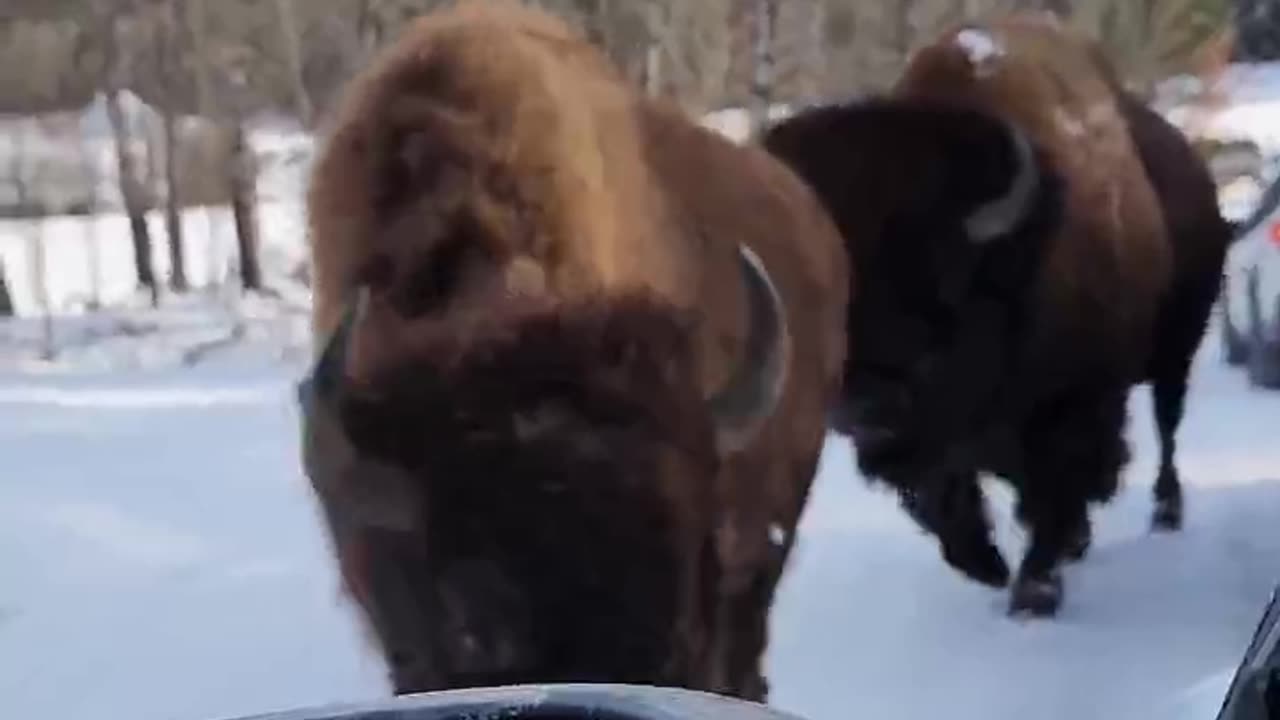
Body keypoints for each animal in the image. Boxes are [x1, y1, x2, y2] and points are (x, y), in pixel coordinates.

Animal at [757, 12, 1228, 617]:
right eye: (824, 285)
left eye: (940, 273)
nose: (860, 404)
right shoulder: (934, 438)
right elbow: (946, 495)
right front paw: (987, 565)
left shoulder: (1072, 402)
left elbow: (1056, 482)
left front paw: (1034, 590)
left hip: (1178, 347)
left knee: (1167, 424)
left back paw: (1165, 513)